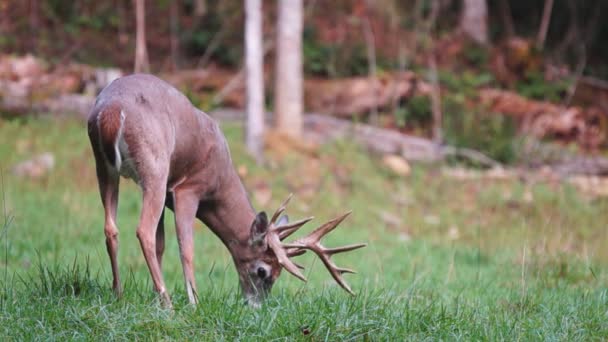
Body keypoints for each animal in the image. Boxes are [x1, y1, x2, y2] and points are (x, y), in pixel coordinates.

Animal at [86, 73, 366, 308]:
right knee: (143, 230)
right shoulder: (189, 188)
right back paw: (168, 303)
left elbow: (161, 244)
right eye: (262, 271)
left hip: (104, 166)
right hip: (155, 166)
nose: (256, 306)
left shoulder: (168, 193)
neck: (219, 182)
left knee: (111, 228)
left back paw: (119, 293)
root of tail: (111, 111)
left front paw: (155, 298)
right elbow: (185, 247)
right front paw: (193, 302)